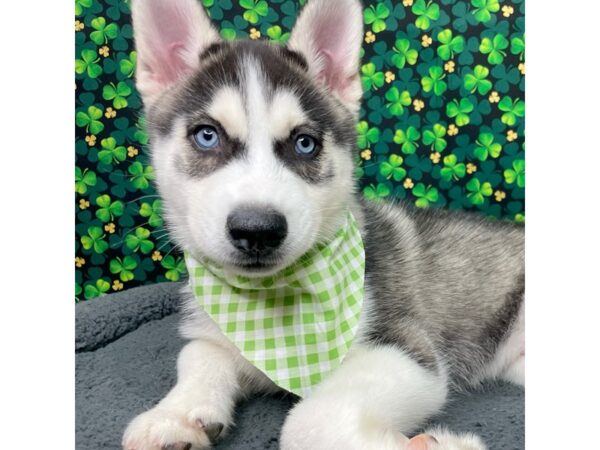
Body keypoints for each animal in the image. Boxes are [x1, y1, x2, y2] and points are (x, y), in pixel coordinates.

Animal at [123, 0, 524, 450]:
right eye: (206, 136)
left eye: (305, 143)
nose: (257, 230)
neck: (268, 302)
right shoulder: (216, 331)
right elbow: (197, 353)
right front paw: (176, 414)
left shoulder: (405, 345)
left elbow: (307, 420)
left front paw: (441, 445)